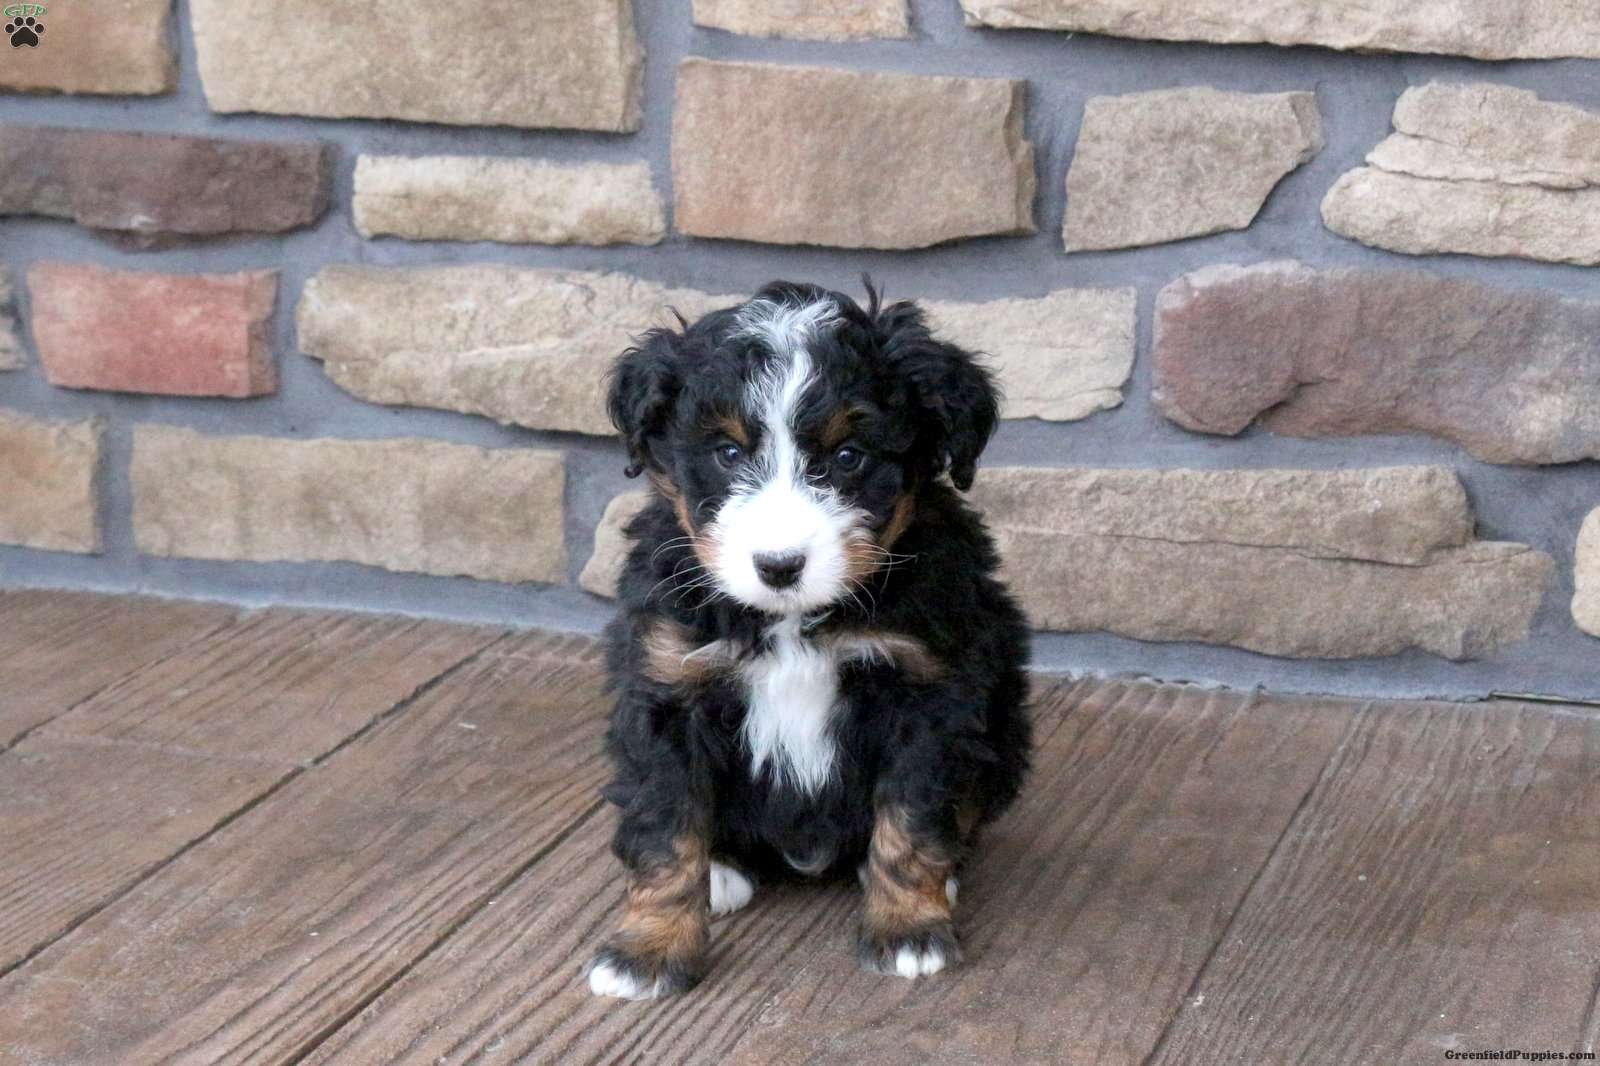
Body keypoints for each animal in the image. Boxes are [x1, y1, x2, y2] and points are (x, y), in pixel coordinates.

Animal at [587, 280, 1032, 1000]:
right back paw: (721, 870)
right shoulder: (667, 684)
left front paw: (908, 928)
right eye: (728, 453)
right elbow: (663, 826)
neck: (794, 618)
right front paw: (647, 949)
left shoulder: (929, 689)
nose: (779, 566)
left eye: (848, 457)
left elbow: (912, 816)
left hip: (1006, 717)